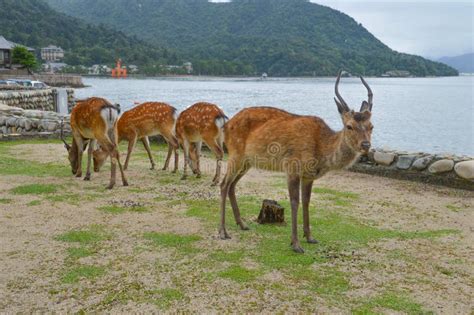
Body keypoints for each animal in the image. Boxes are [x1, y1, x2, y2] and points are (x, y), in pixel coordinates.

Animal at [218, 71, 374, 254]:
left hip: (248, 161)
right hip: (235, 153)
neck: (320, 150)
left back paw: (242, 224)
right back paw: (223, 231)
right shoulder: (292, 166)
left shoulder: (309, 175)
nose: (365, 145)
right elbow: (294, 202)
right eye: (349, 126)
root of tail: (226, 125)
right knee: (223, 184)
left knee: (232, 185)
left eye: (371, 126)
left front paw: (310, 237)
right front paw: (296, 244)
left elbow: (307, 201)